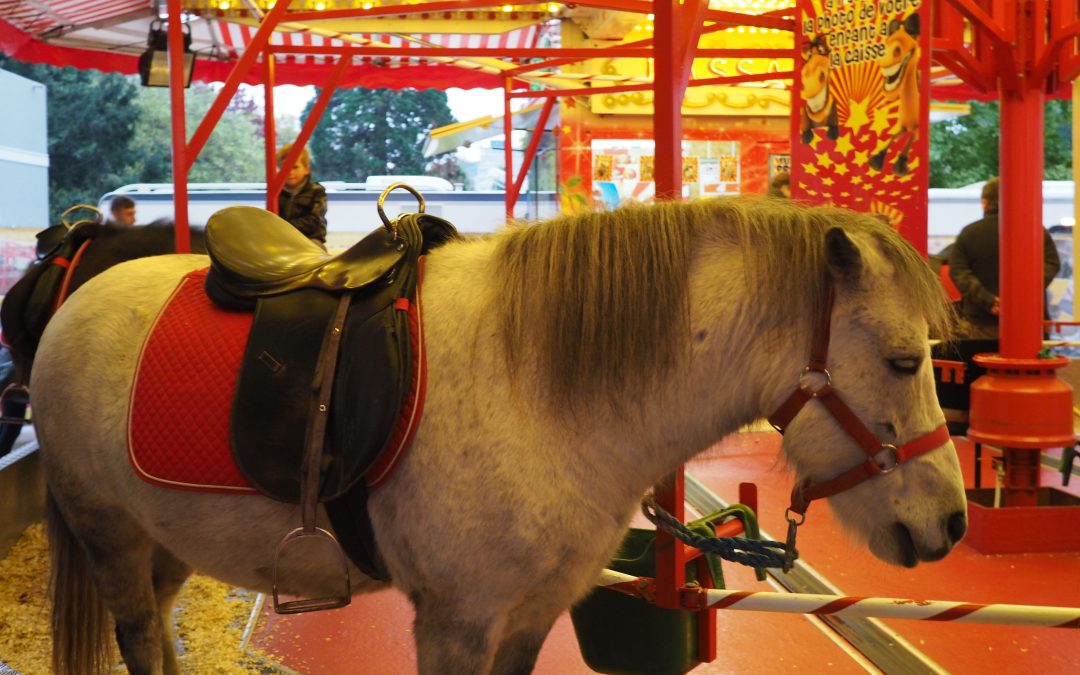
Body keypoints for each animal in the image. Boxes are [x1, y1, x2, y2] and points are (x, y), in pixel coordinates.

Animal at [33, 193, 967, 669]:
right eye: (900, 360)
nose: (953, 523)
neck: (543, 396)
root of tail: (78, 296)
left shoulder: (530, 615)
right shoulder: (456, 623)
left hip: (165, 541)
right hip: (110, 536)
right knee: (138, 638)